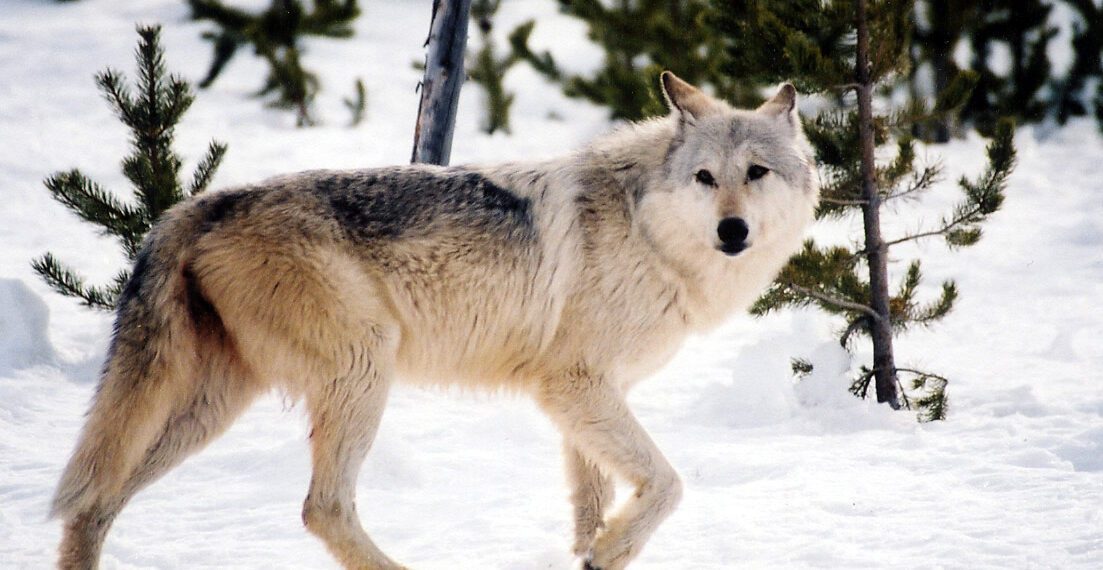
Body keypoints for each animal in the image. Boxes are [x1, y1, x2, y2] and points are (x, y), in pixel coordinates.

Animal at [51, 72, 818, 570]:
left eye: (756, 172)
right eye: (704, 178)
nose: (732, 231)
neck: (647, 230)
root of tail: (198, 205)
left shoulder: (586, 397)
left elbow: (591, 505)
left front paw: (594, 553)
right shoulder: (574, 386)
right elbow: (666, 484)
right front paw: (612, 547)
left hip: (212, 405)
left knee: (94, 503)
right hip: (362, 370)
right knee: (322, 508)